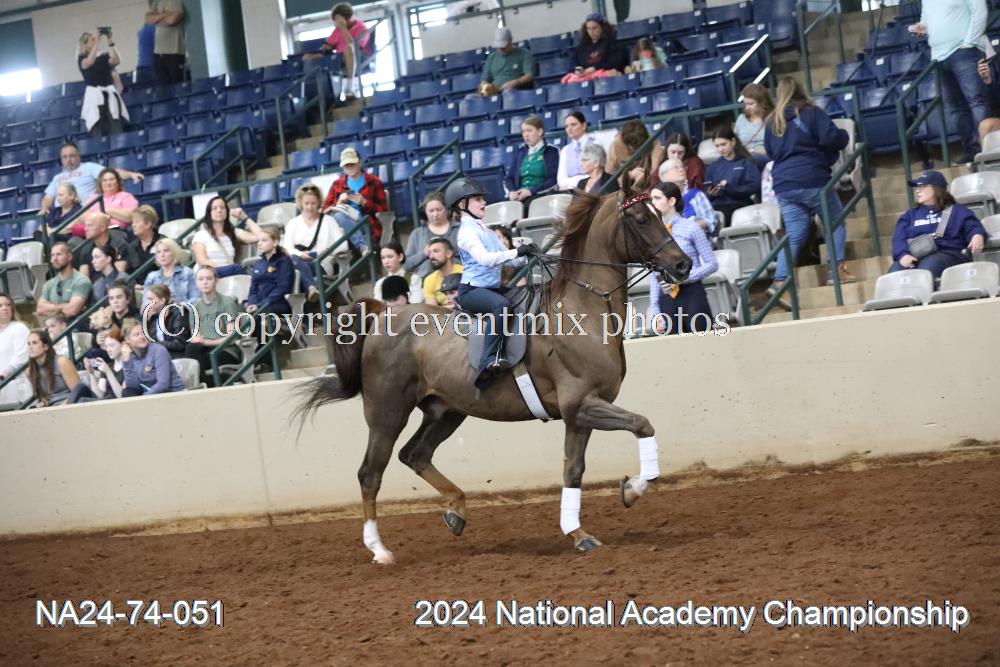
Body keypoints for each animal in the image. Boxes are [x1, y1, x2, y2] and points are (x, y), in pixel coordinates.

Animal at [295, 180, 692, 563]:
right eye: (642, 218)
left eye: (661, 212)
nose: (683, 265)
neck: (581, 311)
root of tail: (381, 315)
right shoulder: (581, 404)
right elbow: (642, 424)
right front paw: (631, 490)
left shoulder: (578, 414)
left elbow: (574, 469)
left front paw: (579, 533)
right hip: (387, 414)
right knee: (370, 473)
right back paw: (379, 549)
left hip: (446, 411)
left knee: (415, 455)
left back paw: (456, 513)